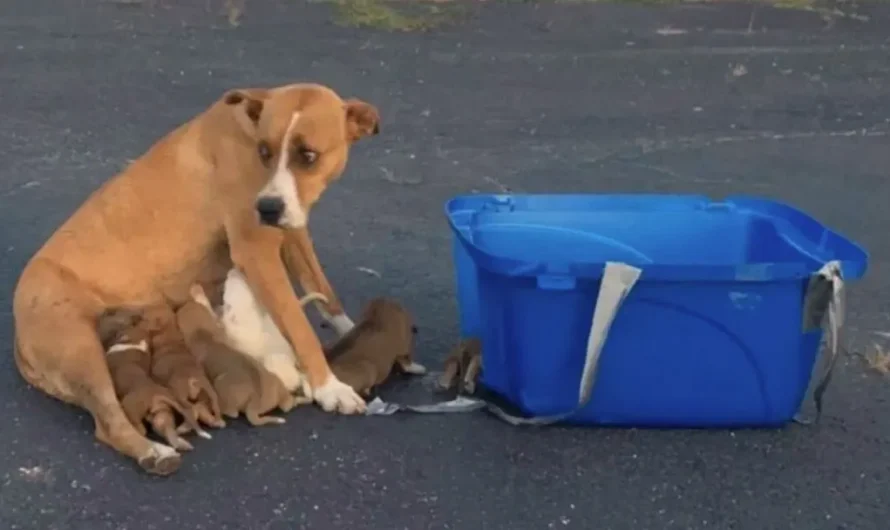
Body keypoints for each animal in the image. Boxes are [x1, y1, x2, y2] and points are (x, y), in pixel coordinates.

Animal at [96, 306, 209, 450]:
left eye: (112, 313)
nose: (103, 311)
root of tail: (156, 393)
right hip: (161, 410)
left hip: (130, 408)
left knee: (141, 429)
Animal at [173, 284, 306, 424]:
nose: (181, 306)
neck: (202, 334)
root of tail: (255, 402)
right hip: (275, 383)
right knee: (287, 404)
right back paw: (297, 400)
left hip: (223, 382)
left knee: (233, 413)